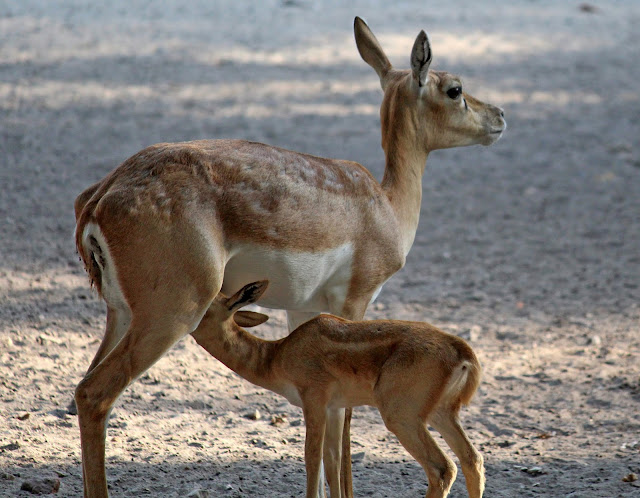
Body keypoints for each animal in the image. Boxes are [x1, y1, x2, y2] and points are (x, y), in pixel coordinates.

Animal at [195, 280, 484, 498]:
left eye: (206, 308)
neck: (277, 356)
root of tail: (462, 352)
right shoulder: (335, 408)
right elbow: (333, 461)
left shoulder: (314, 400)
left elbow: (312, 458)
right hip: (442, 413)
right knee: (472, 460)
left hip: (402, 417)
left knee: (442, 469)